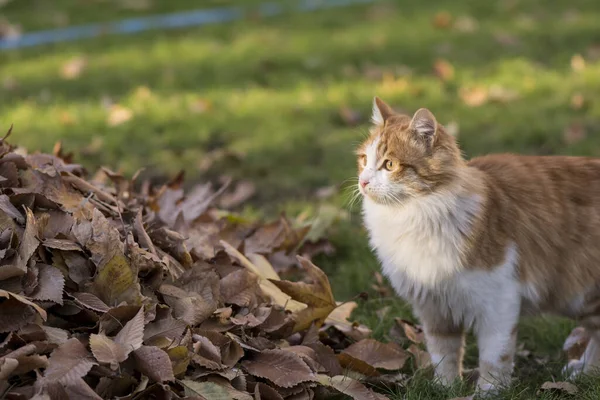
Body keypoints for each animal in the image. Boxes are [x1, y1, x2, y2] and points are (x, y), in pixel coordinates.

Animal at [358, 96, 600, 394]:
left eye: (390, 165)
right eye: (364, 160)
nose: (363, 182)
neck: (417, 215)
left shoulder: (499, 301)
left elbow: (494, 357)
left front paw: (488, 392)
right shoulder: (435, 307)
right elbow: (444, 355)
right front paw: (445, 389)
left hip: (580, 293)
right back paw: (585, 372)